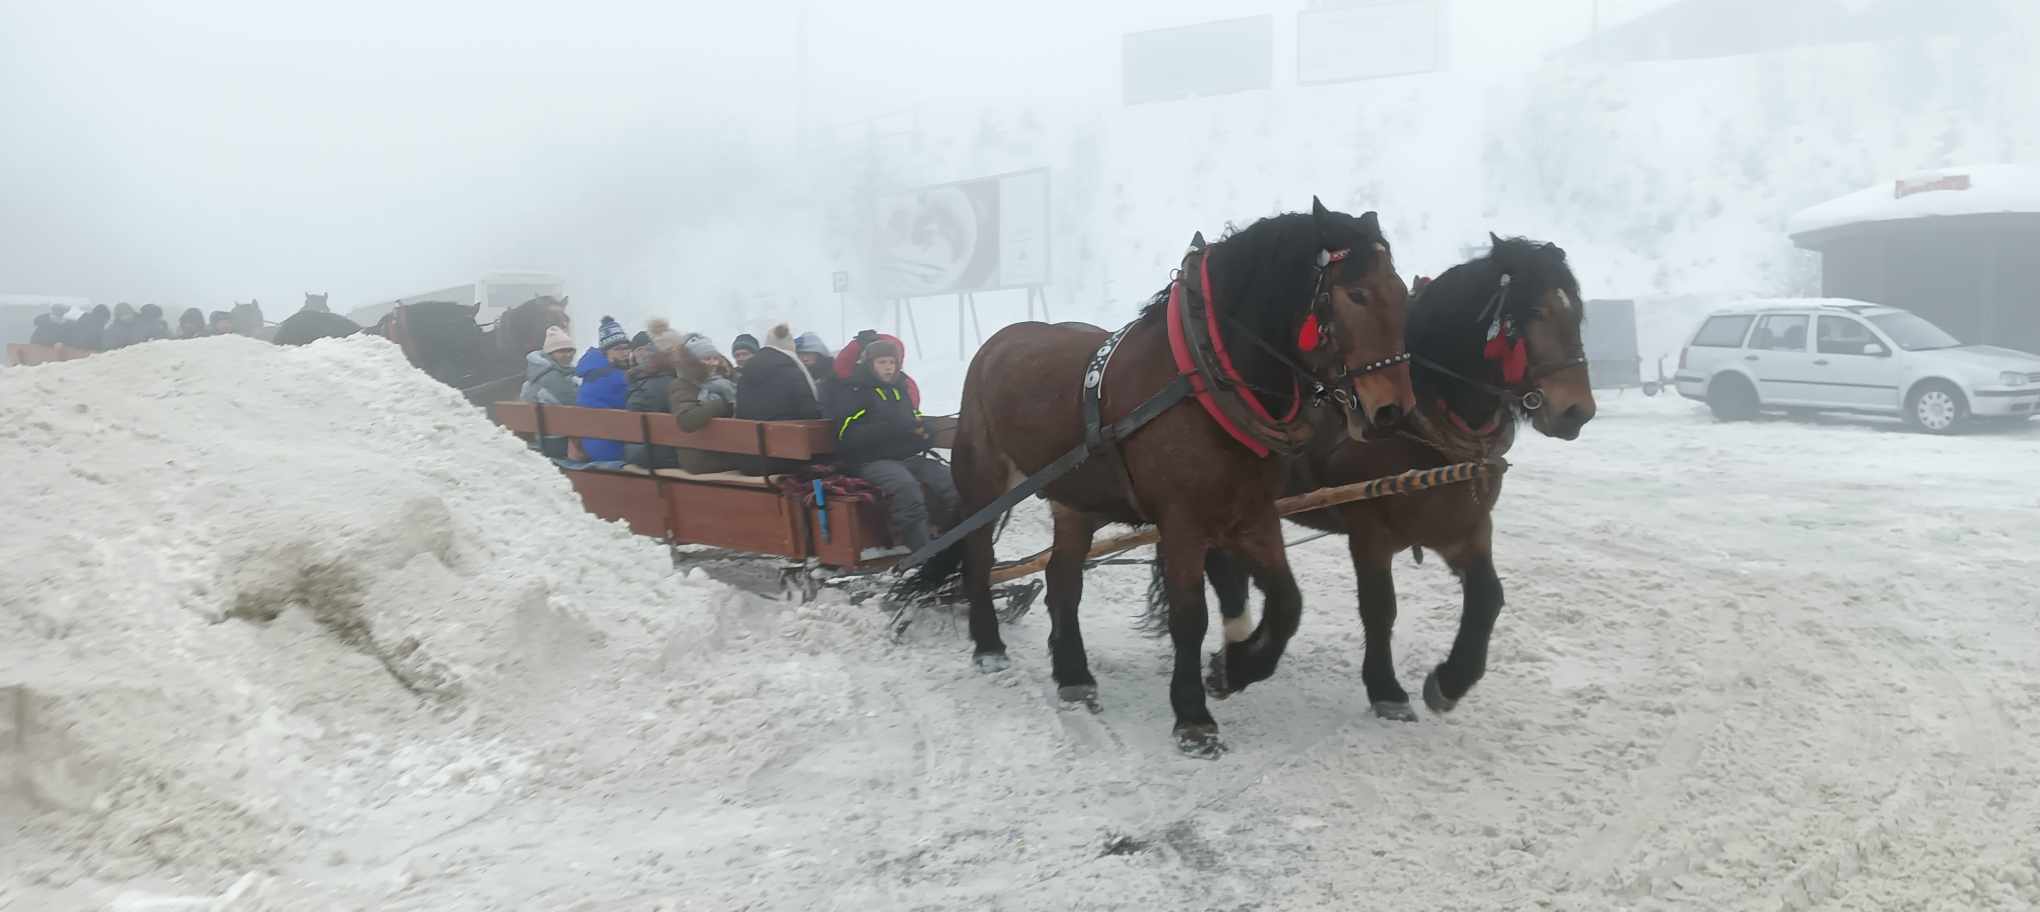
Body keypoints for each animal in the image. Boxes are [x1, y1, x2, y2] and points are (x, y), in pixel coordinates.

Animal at [909, 204, 1419, 758]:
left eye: (1402, 292)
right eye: (1357, 295)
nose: (1393, 412)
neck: (1208, 376)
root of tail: (996, 343)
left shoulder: (1251, 513)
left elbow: (1288, 603)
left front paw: (1235, 669)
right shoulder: (1181, 522)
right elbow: (1189, 616)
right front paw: (1193, 714)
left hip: (1077, 501)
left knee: (1063, 580)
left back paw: (1073, 675)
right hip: (986, 483)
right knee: (978, 559)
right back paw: (989, 646)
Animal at [1175, 237, 1599, 726]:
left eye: (1577, 312)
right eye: (1534, 312)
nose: (1577, 411)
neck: (1424, 418)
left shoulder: (1465, 527)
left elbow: (1488, 597)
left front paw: (1450, 682)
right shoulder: (1369, 530)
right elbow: (1380, 607)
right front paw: (1386, 688)